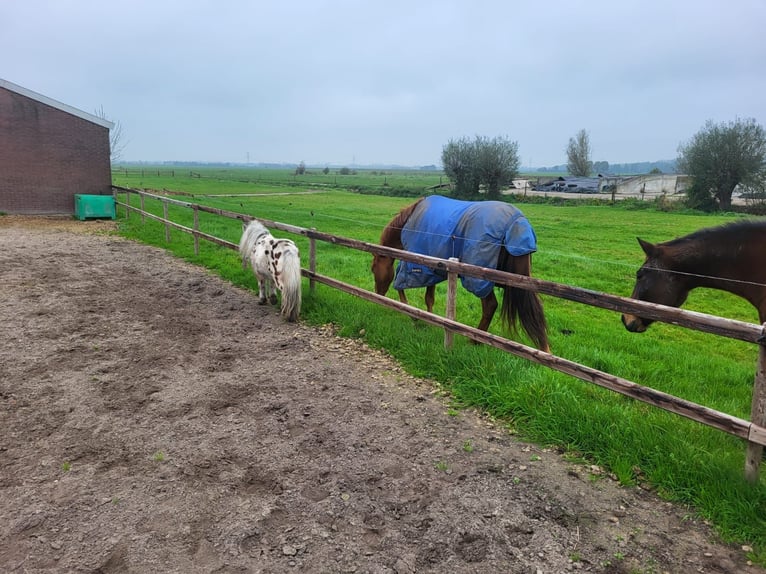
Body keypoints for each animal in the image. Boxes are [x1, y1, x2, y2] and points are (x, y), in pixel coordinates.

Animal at [372, 196, 552, 354]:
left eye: (373, 269)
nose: (377, 294)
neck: (407, 224)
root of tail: (516, 224)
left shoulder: (417, 264)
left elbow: (400, 286)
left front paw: (412, 315)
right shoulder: (433, 268)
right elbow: (429, 297)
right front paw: (429, 318)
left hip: (479, 279)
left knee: (490, 305)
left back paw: (475, 340)